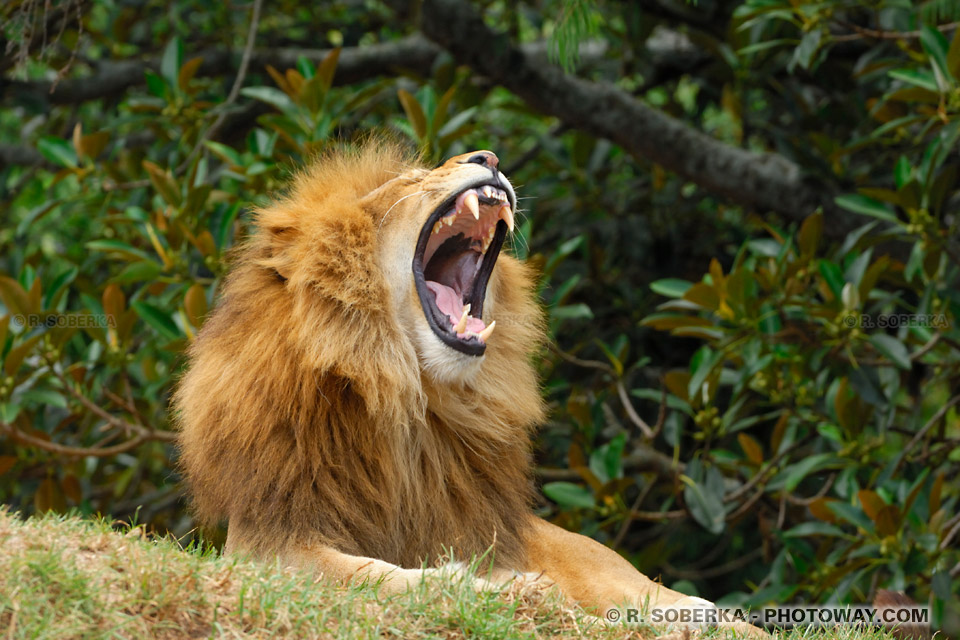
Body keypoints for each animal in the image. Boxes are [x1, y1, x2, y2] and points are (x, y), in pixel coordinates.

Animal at [174, 140, 764, 636]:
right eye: (409, 181)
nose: (490, 157)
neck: (406, 392)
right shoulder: (269, 539)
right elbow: (366, 574)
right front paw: (491, 588)